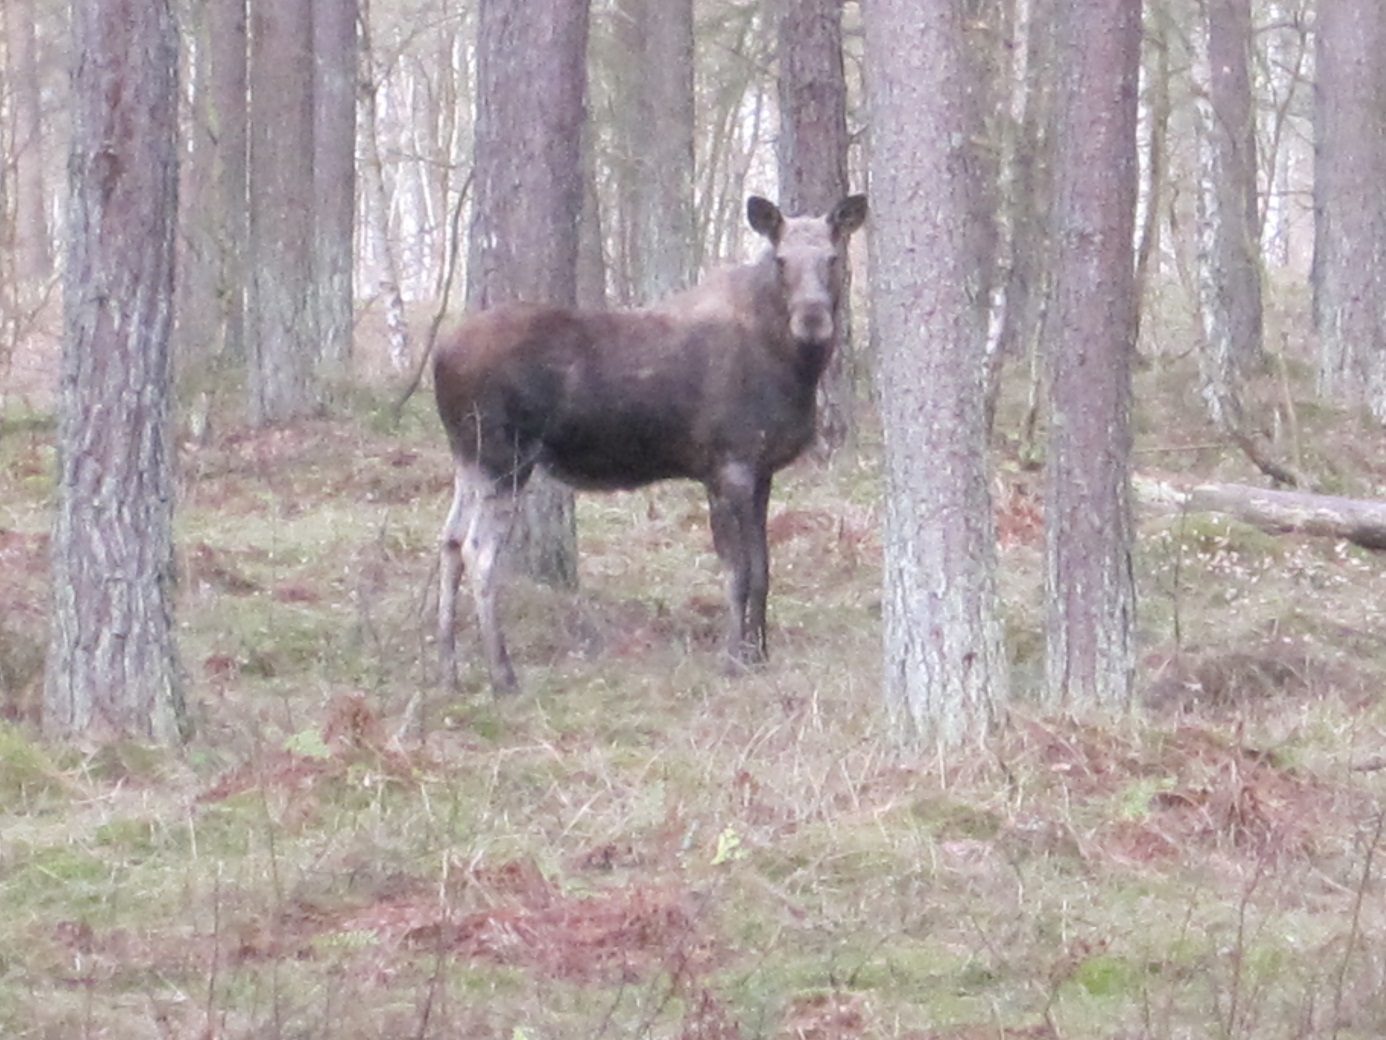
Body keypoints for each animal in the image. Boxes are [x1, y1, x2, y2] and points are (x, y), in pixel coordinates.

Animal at [432, 195, 864, 701]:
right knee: (478, 552)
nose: (813, 319)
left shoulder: (762, 471)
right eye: (781, 261)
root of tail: (438, 359)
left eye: (833, 258)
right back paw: (503, 675)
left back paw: (448, 671)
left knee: (449, 542)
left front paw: (760, 655)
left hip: (469, 460)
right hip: (505, 460)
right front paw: (734, 659)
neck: (795, 369)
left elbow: (763, 569)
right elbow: (737, 572)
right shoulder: (728, 467)